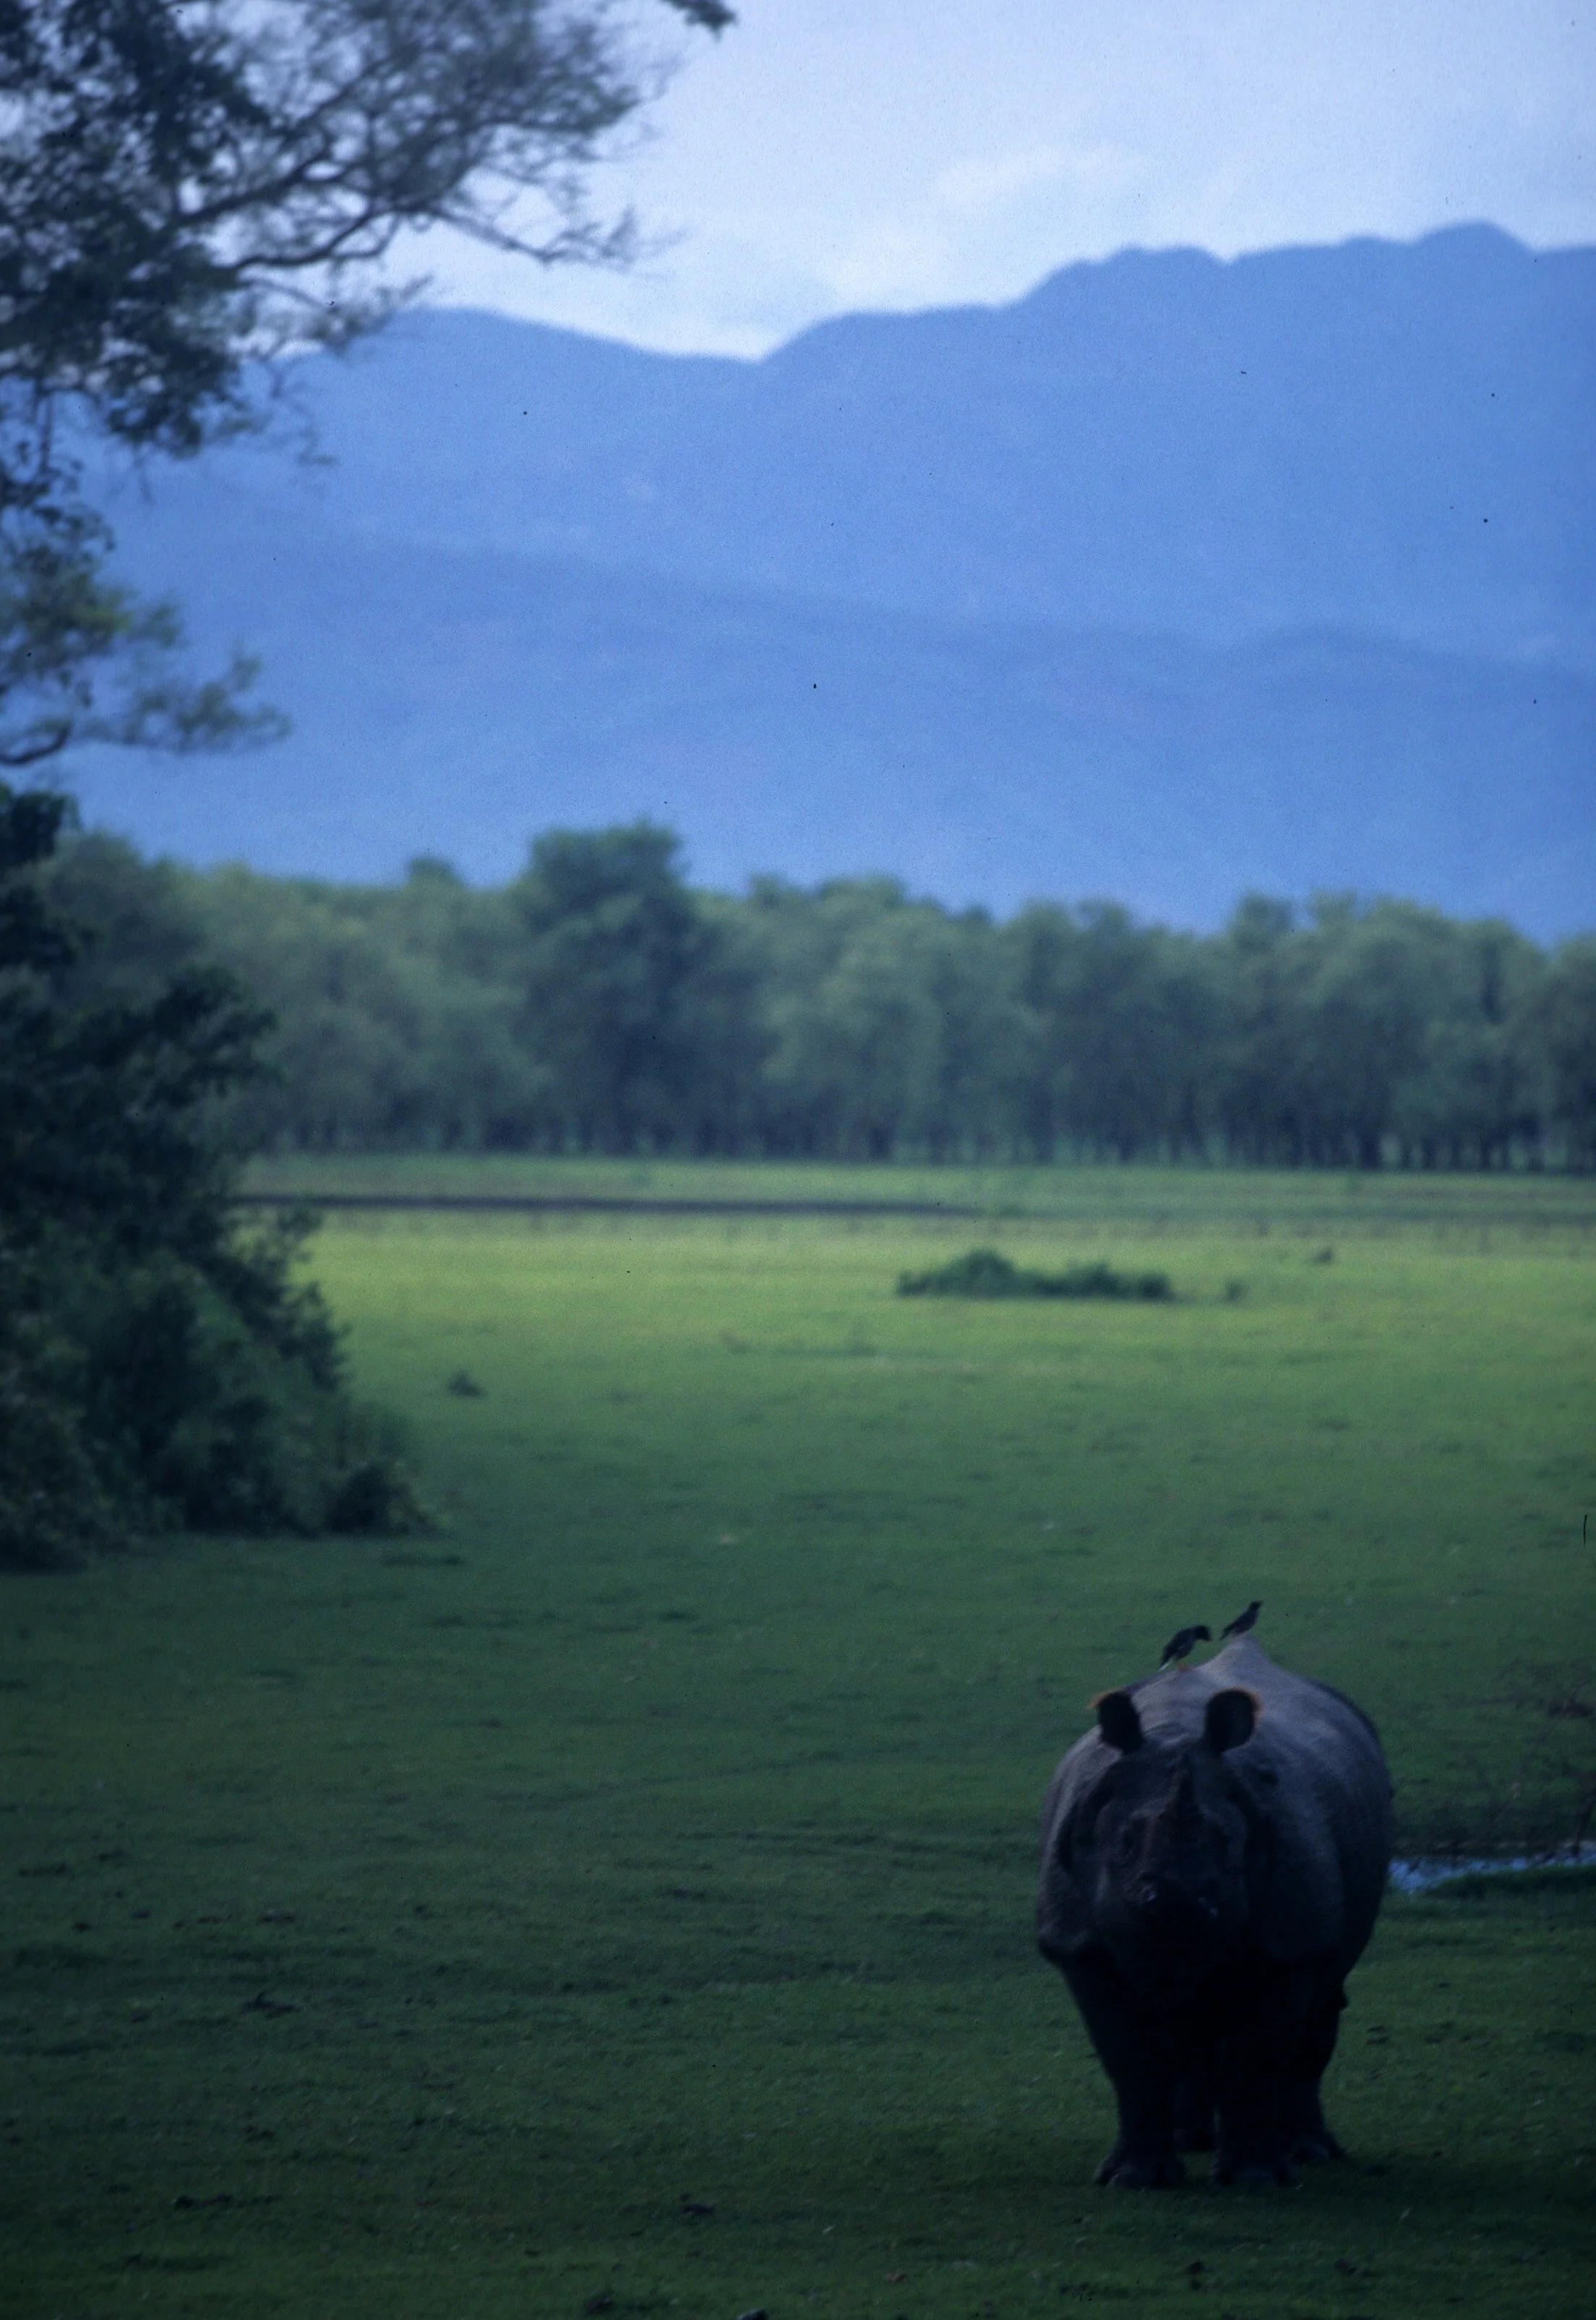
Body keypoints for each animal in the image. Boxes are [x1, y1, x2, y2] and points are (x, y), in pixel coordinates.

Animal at [1037, 1634, 1392, 2188]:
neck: (1172, 1733)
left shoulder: (1288, 1940)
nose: (1178, 1899)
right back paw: (1193, 2140)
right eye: (1125, 1843)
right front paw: (1134, 2179)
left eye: (1227, 1842)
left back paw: (1307, 2151)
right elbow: (1128, 2058)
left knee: (1321, 2001)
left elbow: (1257, 2052)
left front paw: (1254, 2180)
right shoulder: (1078, 1943)